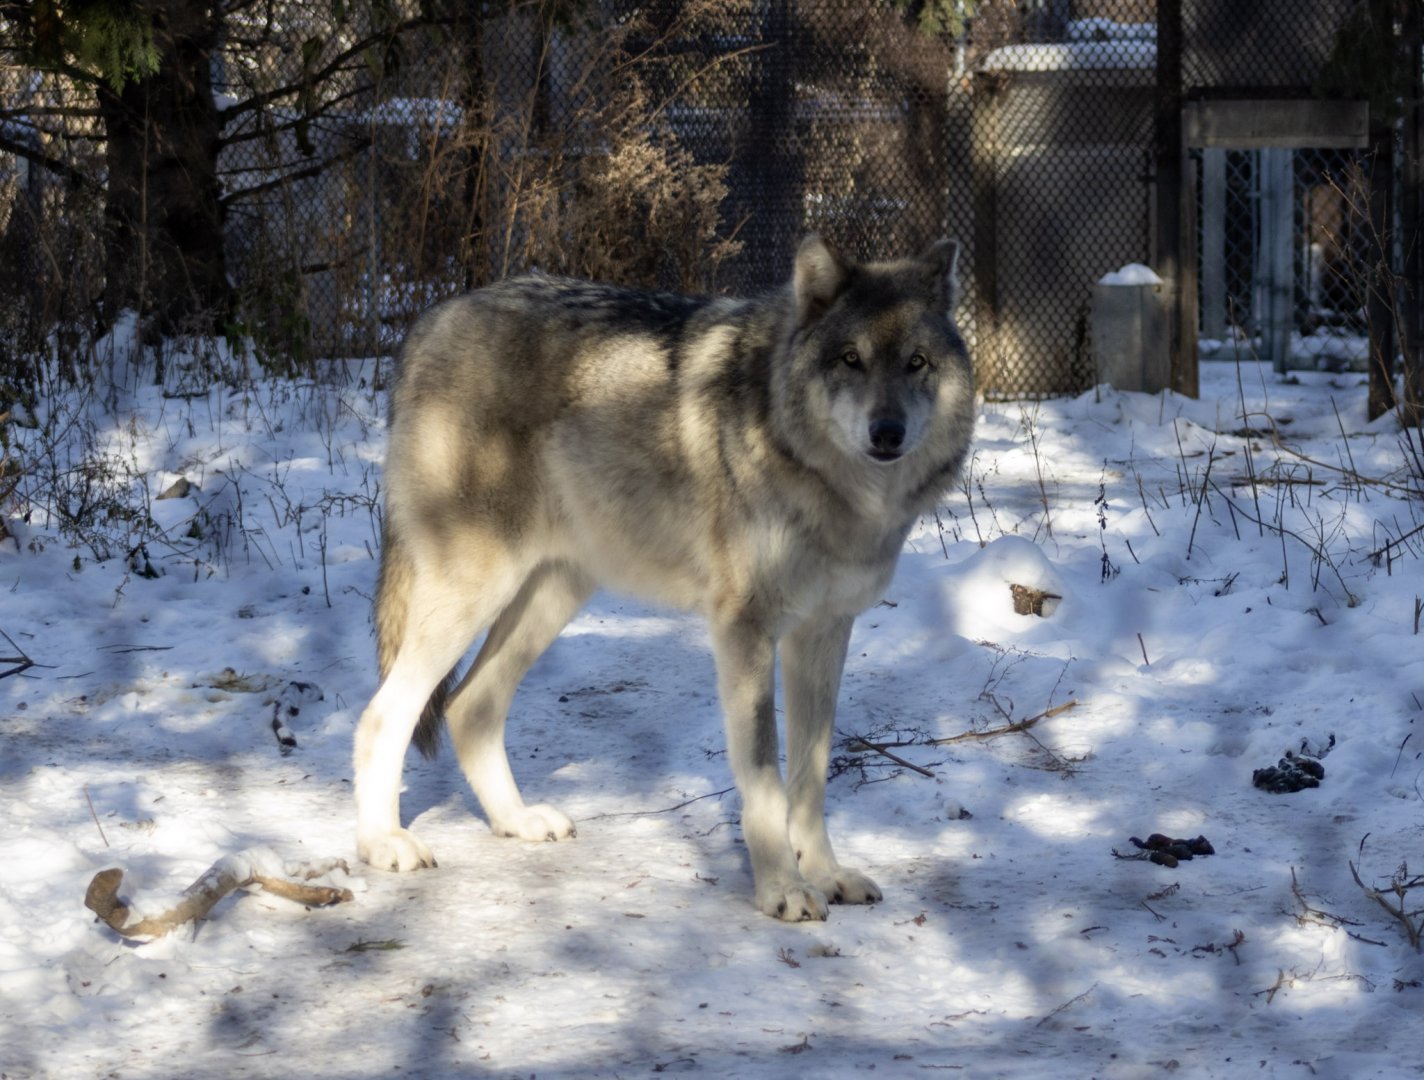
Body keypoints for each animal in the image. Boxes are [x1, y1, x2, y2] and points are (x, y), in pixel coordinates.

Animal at [353, 235, 975, 921]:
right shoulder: (744, 630)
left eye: (916, 362)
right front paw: (783, 890)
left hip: (553, 596)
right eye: (851, 359)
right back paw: (385, 844)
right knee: (383, 716)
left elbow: (809, 778)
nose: (887, 433)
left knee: (469, 707)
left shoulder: (824, 631)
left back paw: (517, 821)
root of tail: (427, 323)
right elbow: (764, 780)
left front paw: (828, 875)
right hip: (474, 594)